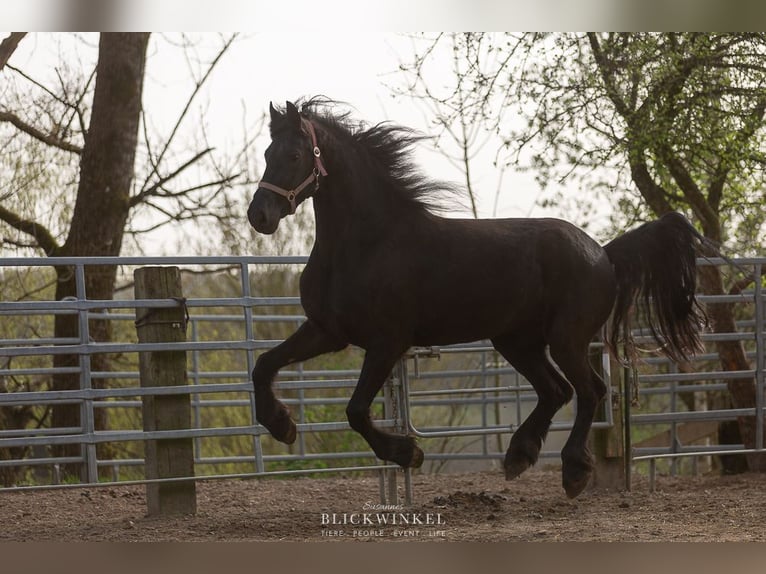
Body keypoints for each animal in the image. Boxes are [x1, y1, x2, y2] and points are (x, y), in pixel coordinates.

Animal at [248, 99, 708, 500]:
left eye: (294, 154)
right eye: (266, 152)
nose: (259, 216)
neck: (367, 243)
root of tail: (604, 254)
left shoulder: (387, 342)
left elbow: (357, 410)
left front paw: (408, 453)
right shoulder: (327, 331)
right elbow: (263, 365)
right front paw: (281, 425)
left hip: (567, 339)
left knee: (589, 390)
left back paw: (574, 471)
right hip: (517, 341)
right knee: (556, 390)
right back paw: (519, 456)